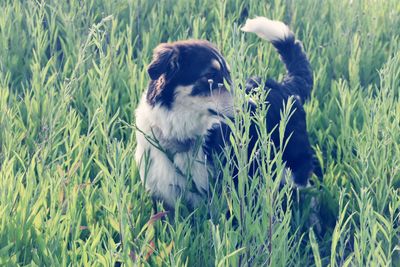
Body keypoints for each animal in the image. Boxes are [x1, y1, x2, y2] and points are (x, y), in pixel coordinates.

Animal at [136, 16, 318, 210]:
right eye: (210, 76)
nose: (251, 105)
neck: (179, 136)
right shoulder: (162, 197)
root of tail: (287, 87)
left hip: (294, 166)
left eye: (229, 75)